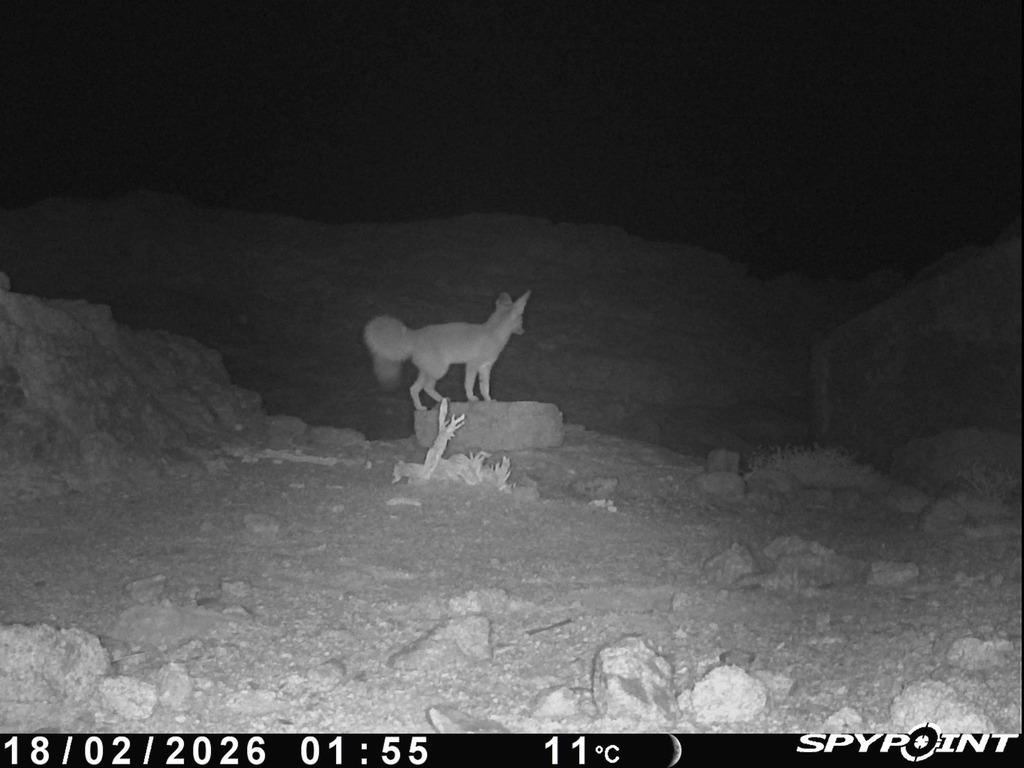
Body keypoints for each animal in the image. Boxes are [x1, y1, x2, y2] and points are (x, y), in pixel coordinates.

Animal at [364, 291, 531, 411]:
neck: (493, 333)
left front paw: (489, 400)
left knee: (414, 389)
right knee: (426, 387)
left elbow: (485, 388)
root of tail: (414, 334)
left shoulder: (486, 367)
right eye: (522, 320)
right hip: (440, 370)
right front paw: (471, 398)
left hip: (428, 371)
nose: (523, 331)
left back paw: (421, 407)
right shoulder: (472, 364)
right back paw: (442, 401)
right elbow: (469, 384)